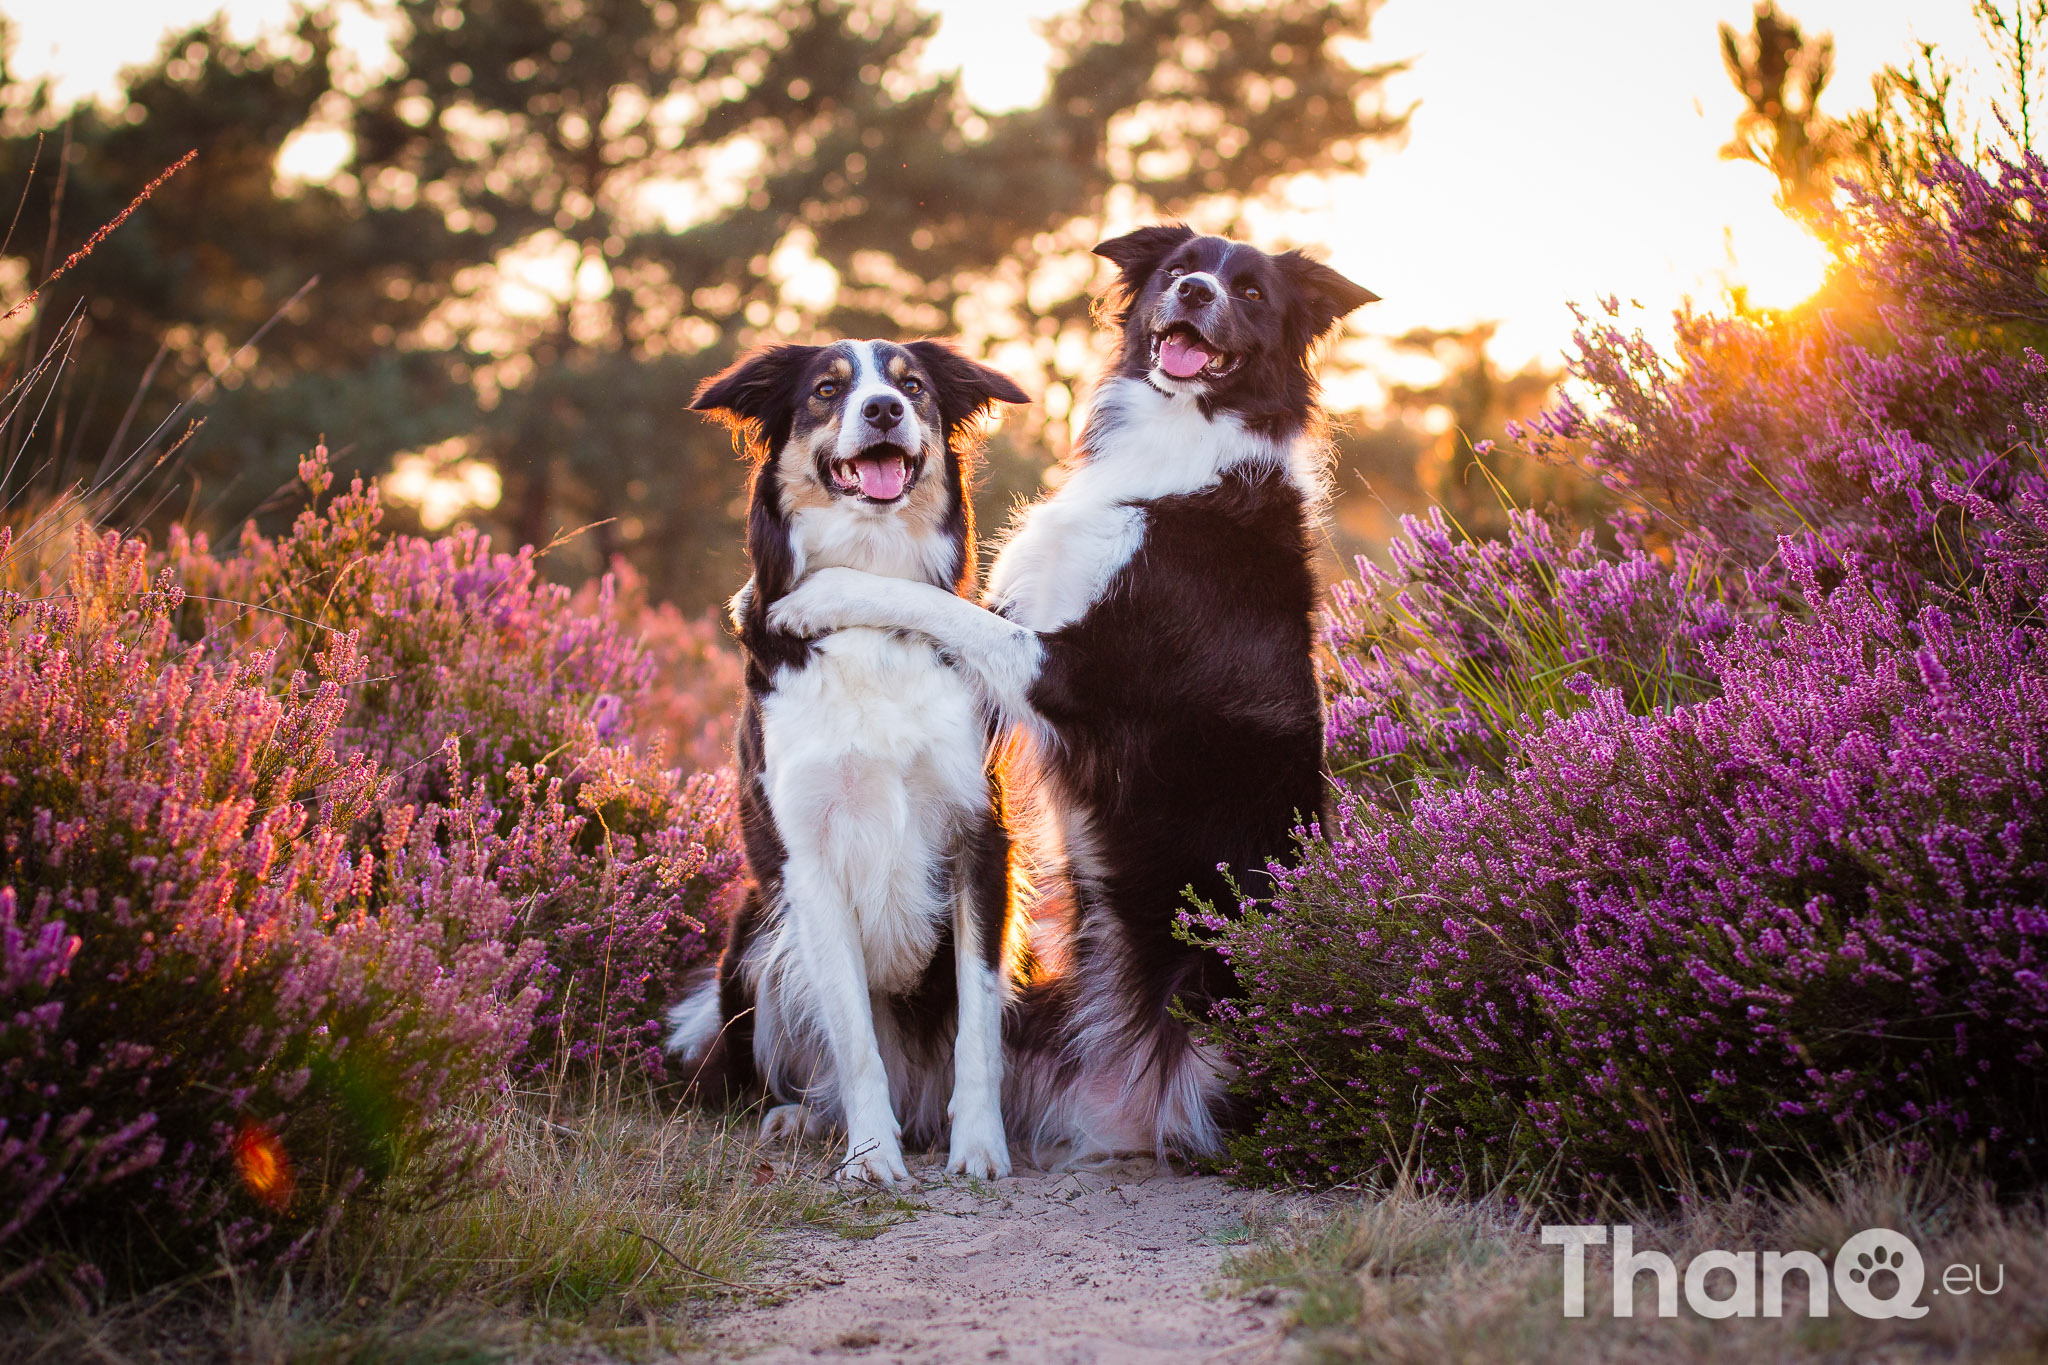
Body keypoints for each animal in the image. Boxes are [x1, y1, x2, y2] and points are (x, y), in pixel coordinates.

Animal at [667, 339, 1024, 1186]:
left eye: (913, 385)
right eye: (828, 390)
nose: (883, 409)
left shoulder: (978, 838)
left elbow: (978, 1025)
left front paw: (979, 1145)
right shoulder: (808, 860)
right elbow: (856, 1038)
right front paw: (870, 1156)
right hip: (757, 936)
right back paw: (801, 1116)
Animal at [770, 227, 1376, 1162]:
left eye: (1250, 291)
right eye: (1179, 270)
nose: (1196, 293)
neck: (1180, 446)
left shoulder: (1070, 673)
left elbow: (927, 602)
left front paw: (820, 595)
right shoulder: (1023, 620)